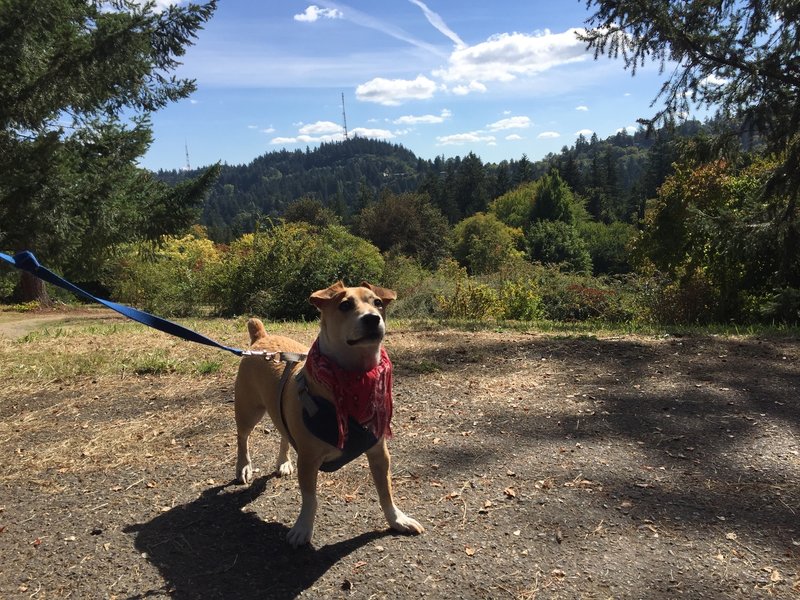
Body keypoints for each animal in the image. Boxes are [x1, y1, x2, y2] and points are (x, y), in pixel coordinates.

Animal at [233, 278, 424, 548]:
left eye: (378, 303)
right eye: (345, 305)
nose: (372, 318)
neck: (354, 379)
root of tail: (262, 337)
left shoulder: (379, 453)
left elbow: (385, 490)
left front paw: (397, 519)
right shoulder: (308, 459)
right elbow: (310, 498)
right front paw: (303, 528)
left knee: (283, 432)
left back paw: (283, 462)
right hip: (248, 409)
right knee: (243, 437)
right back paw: (243, 466)